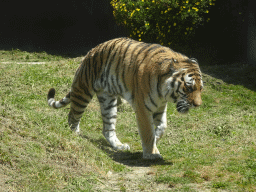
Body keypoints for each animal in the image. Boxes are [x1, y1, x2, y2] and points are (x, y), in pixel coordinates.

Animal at [47, 36, 204, 160]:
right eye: (189, 88)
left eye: (200, 88)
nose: (198, 105)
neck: (165, 93)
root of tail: (91, 51)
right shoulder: (143, 108)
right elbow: (148, 132)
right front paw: (151, 153)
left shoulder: (160, 106)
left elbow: (163, 126)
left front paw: (157, 138)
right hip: (83, 91)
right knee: (72, 116)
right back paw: (76, 135)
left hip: (108, 102)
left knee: (107, 129)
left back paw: (119, 146)